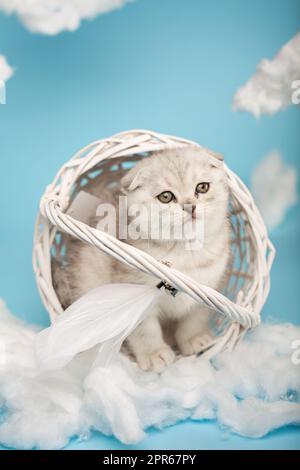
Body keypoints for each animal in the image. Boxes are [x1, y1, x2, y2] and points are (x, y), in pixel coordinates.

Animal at [54, 145, 230, 372]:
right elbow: (144, 327)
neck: (184, 251)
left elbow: (196, 315)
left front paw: (195, 338)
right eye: (166, 197)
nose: (190, 206)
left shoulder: (210, 286)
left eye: (202, 187)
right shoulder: (130, 286)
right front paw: (154, 353)